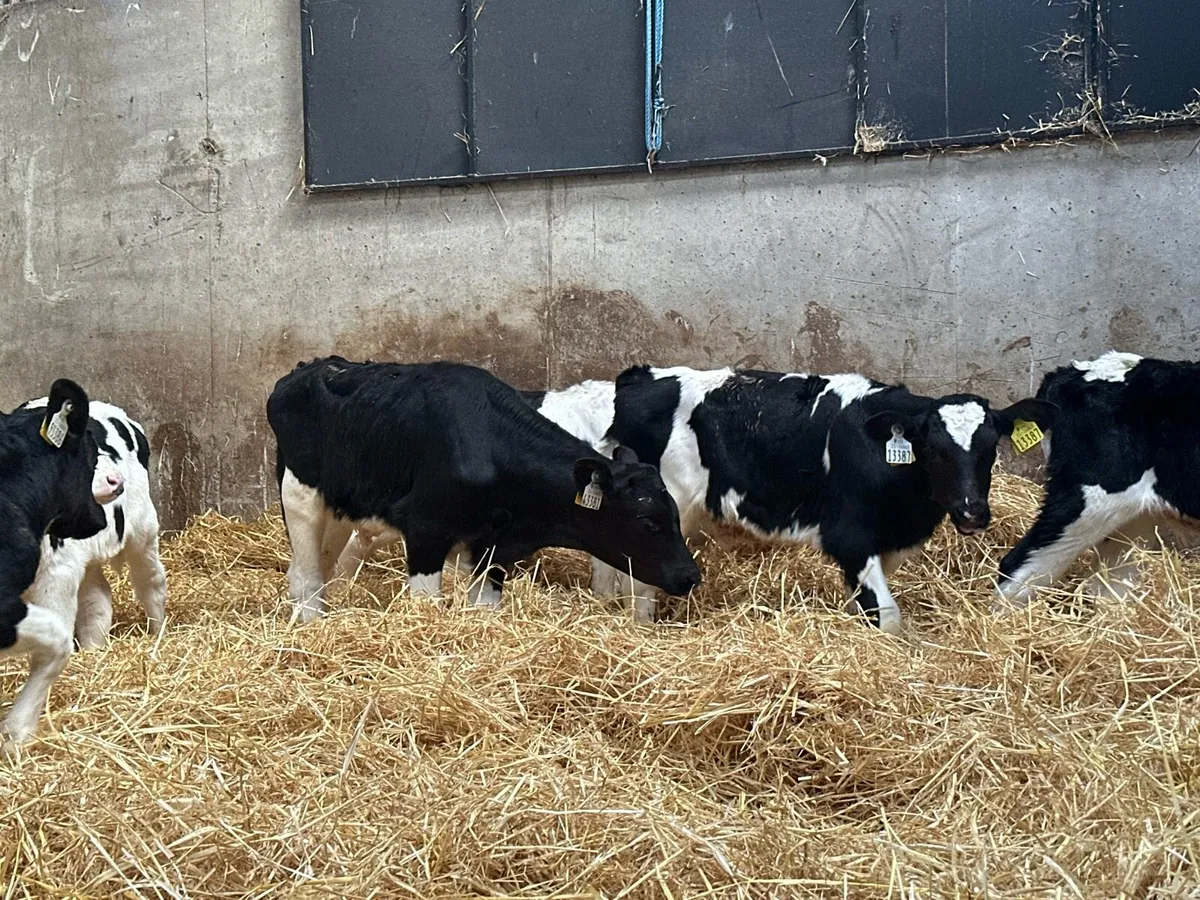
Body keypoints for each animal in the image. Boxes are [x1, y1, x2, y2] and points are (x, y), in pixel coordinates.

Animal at [17, 396, 167, 649]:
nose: (114, 480)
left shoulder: (57, 573)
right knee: (96, 596)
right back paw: (93, 648)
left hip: (142, 529)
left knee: (151, 580)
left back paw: (158, 632)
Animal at [266, 358, 700, 621]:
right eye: (647, 522)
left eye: (675, 516)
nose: (690, 575)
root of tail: (310, 369)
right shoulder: (425, 532)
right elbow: (427, 604)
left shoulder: (490, 549)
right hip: (300, 500)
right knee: (308, 579)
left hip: (340, 507)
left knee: (313, 571)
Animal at [603, 365, 1054, 632]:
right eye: (934, 449)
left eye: (991, 447)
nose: (971, 511)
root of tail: (640, 375)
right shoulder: (849, 536)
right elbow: (888, 616)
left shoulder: (888, 543)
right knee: (639, 577)